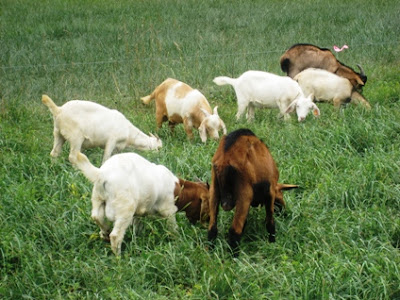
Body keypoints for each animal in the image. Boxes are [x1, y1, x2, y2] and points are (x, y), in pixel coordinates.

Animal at [76, 152, 212, 255]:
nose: (207, 223)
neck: (178, 189)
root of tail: (102, 174)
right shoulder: (168, 210)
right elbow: (173, 229)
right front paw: (178, 242)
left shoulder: (138, 213)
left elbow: (138, 226)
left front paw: (138, 239)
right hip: (125, 208)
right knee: (115, 236)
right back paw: (119, 258)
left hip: (97, 198)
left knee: (96, 216)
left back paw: (105, 233)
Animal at [208, 127, 298, 256]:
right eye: (281, 197)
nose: (285, 214)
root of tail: (225, 159)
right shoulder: (270, 192)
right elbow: (270, 222)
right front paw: (272, 243)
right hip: (244, 195)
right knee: (234, 230)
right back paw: (234, 257)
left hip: (214, 190)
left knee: (212, 228)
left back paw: (210, 252)